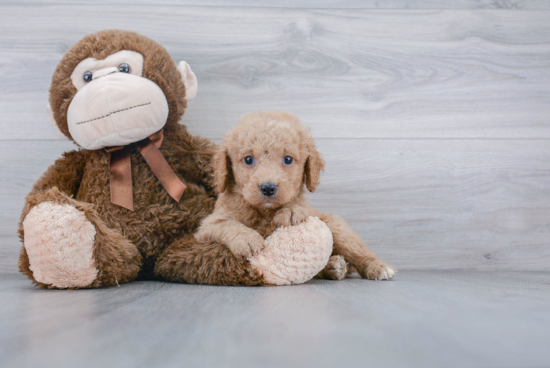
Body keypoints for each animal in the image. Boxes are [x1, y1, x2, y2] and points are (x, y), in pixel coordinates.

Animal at [196, 110, 398, 280]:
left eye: (287, 159)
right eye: (248, 159)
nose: (268, 188)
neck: (264, 212)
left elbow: (296, 203)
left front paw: (291, 211)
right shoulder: (207, 228)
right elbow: (228, 224)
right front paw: (247, 239)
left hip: (338, 229)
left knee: (359, 253)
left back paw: (377, 267)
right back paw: (335, 266)